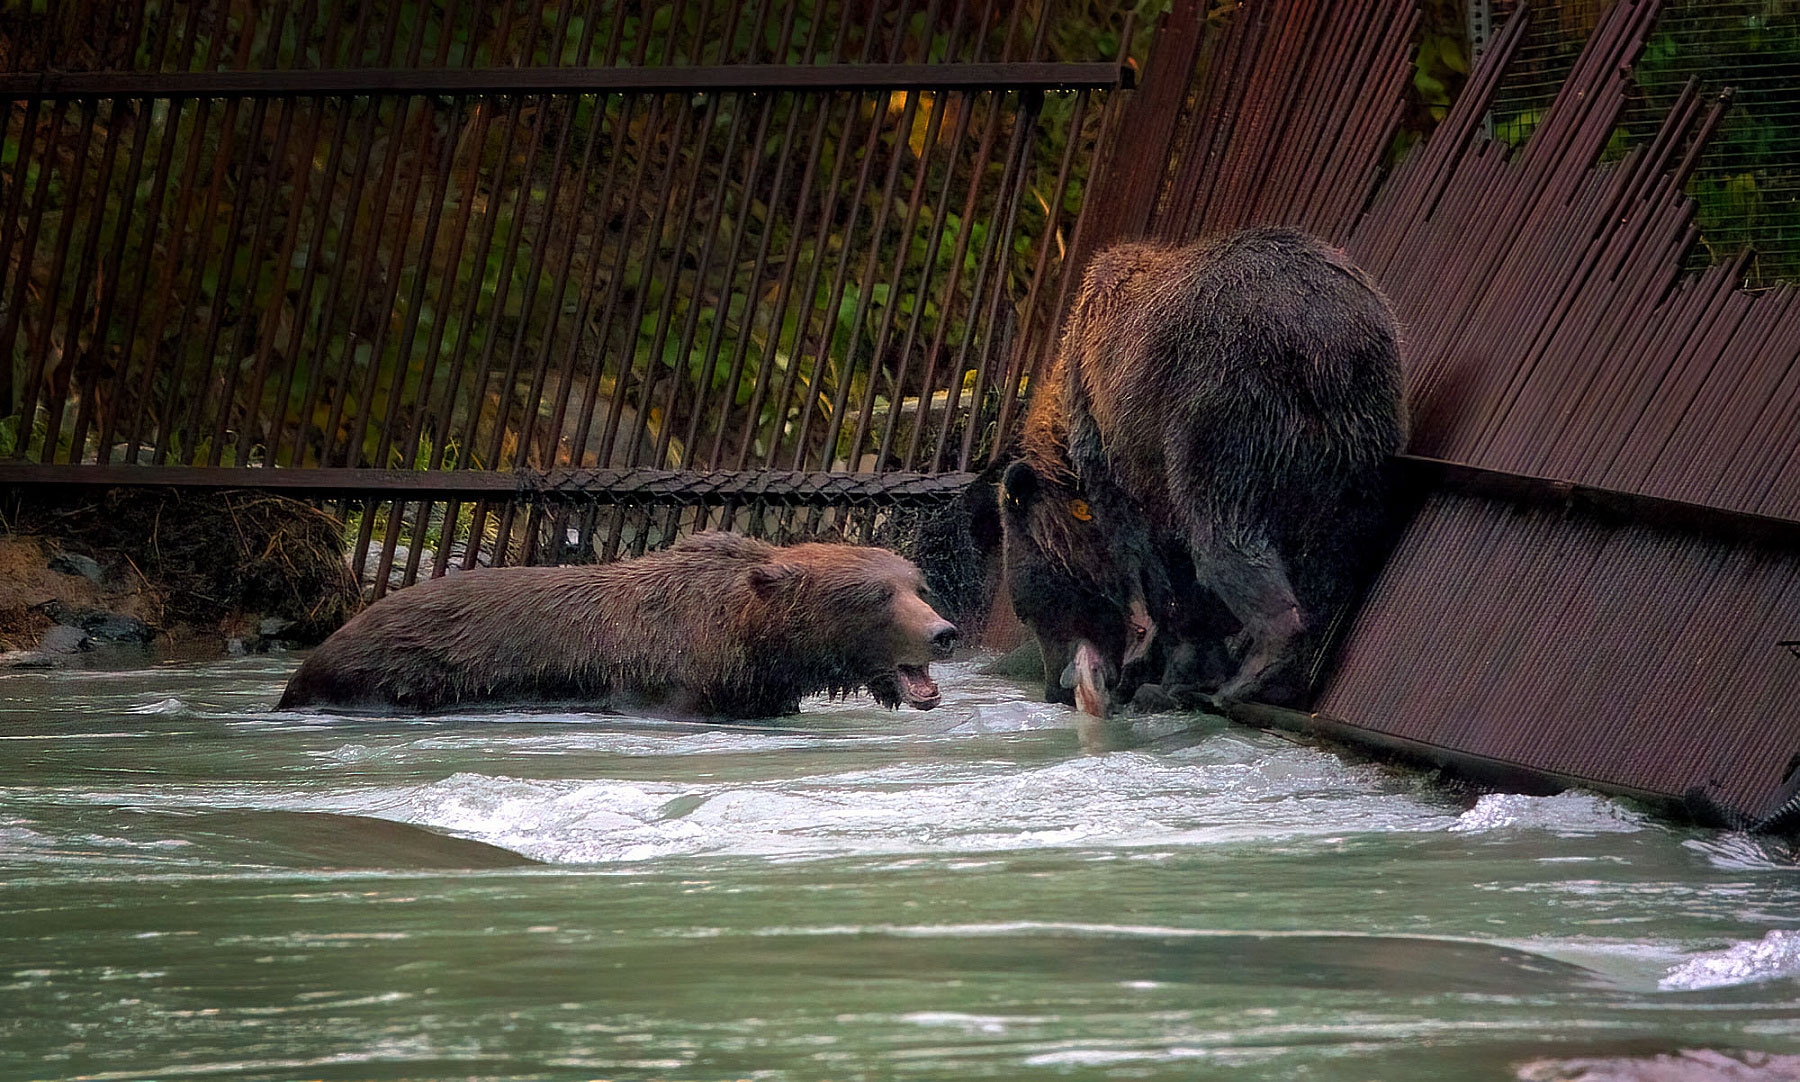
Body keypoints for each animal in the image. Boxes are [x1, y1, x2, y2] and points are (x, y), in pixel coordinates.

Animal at [1000, 226, 1404, 712]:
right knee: (1336, 549)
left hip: (1227, 404)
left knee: (1221, 532)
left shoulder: (1124, 451)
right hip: (1359, 436)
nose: (1053, 688)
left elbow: (1164, 566)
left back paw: (1254, 671)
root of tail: (1325, 336)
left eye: (1030, 610)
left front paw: (1168, 674)